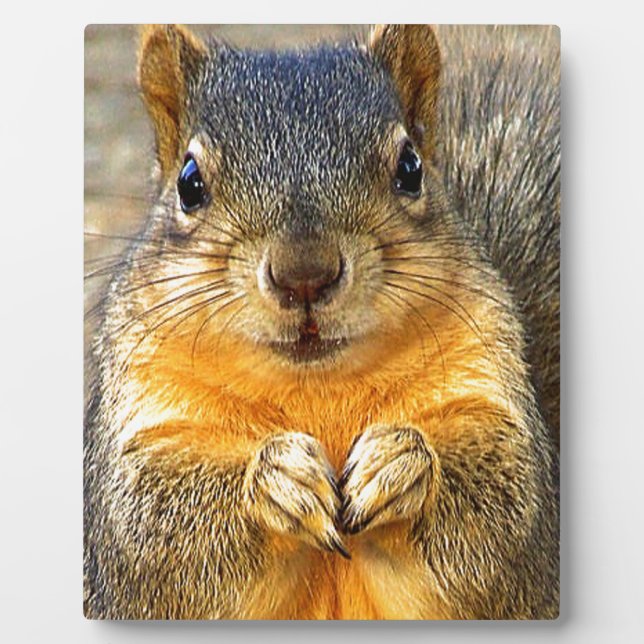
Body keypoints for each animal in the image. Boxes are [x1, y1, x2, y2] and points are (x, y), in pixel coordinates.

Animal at [84, 24, 560, 619]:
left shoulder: (492, 396)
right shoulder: (142, 432)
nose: (304, 274)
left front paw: (401, 462)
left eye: (411, 168)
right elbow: (150, 527)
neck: (316, 387)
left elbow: (508, 517)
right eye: (189, 183)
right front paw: (275, 479)